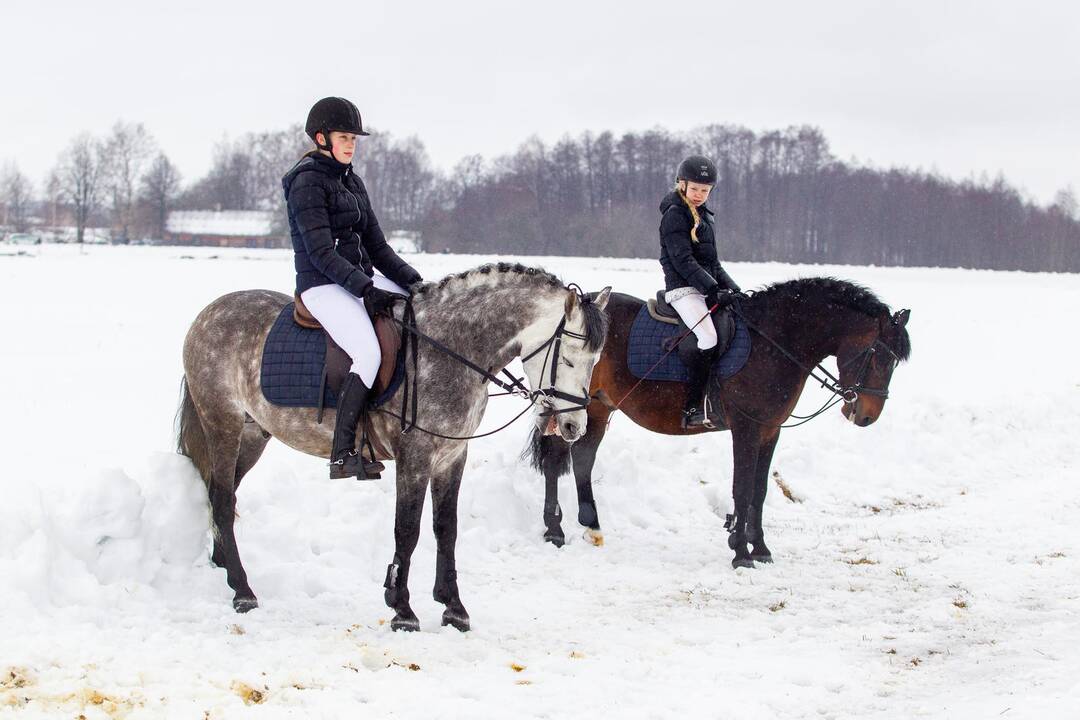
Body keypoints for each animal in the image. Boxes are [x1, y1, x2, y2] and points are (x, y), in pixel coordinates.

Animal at [181, 264, 613, 630]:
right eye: (569, 359)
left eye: (596, 361)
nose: (573, 427)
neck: (453, 347)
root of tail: (209, 313)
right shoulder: (415, 456)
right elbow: (407, 530)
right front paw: (402, 609)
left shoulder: (452, 456)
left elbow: (446, 528)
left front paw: (453, 607)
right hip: (223, 424)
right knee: (222, 498)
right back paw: (242, 591)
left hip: (253, 433)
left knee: (223, 493)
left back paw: (223, 565)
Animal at [531, 278, 911, 565]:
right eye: (878, 356)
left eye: (893, 362)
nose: (866, 416)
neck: (773, 342)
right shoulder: (746, 429)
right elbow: (741, 489)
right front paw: (741, 552)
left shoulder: (770, 431)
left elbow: (759, 490)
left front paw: (761, 549)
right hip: (570, 405)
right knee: (554, 461)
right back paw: (554, 530)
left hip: (597, 408)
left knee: (582, 460)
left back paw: (590, 525)